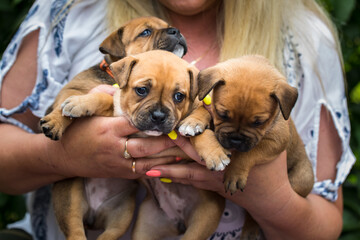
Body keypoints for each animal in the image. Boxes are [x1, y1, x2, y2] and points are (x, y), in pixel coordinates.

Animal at [39, 15, 187, 140]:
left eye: (169, 26)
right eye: (146, 32)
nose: (176, 30)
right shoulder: (72, 88)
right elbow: (63, 105)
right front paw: (55, 121)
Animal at [195, 55, 314, 239]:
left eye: (258, 122)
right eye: (222, 114)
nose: (236, 140)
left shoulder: (275, 141)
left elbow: (247, 154)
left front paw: (235, 173)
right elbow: (205, 112)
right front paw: (195, 119)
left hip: (300, 181)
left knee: (257, 214)